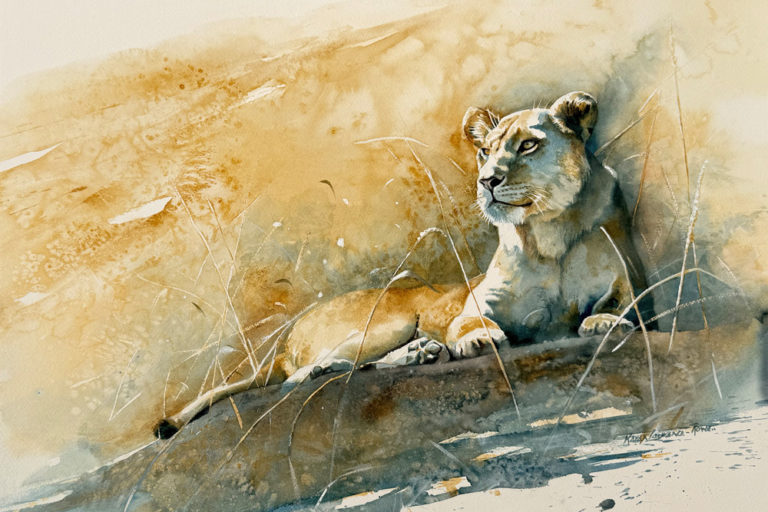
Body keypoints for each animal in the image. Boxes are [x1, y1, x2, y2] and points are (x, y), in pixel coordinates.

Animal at [154, 91, 650, 438]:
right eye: (485, 151)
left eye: (528, 145)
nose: (487, 181)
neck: (548, 237)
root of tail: (286, 339)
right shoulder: (475, 304)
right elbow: (470, 322)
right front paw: (479, 340)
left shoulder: (630, 286)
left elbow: (621, 306)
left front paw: (603, 322)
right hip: (386, 323)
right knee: (297, 379)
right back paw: (341, 366)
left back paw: (421, 353)